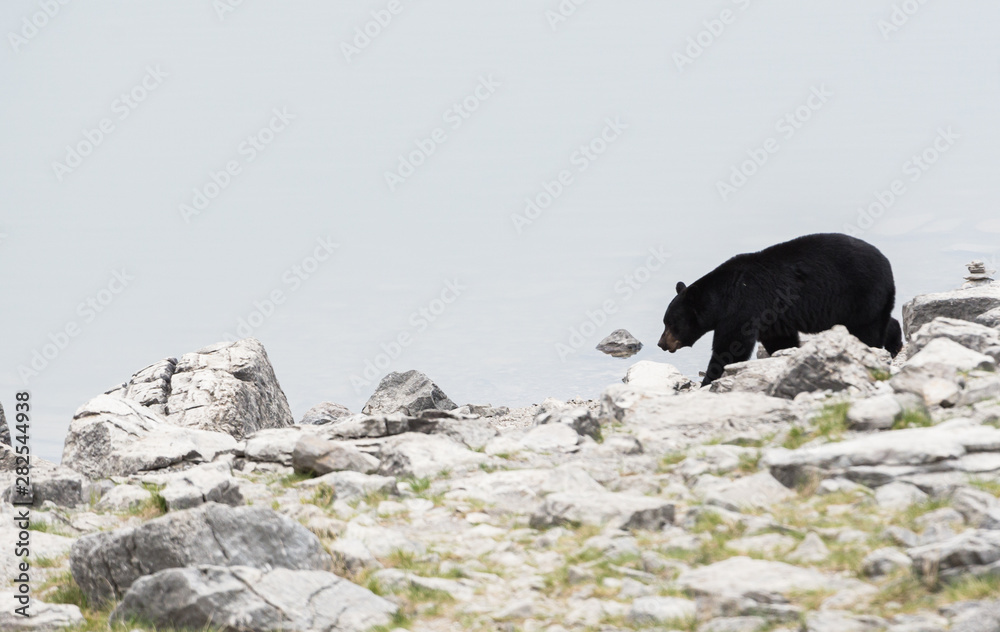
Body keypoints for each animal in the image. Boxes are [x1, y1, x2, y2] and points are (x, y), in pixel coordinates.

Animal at [658, 233, 903, 387]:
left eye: (671, 323)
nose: (661, 343)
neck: (723, 295)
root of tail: (888, 265)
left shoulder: (744, 308)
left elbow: (731, 346)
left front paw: (708, 380)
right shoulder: (771, 319)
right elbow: (780, 340)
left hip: (859, 295)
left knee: (867, 330)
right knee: (884, 321)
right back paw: (894, 343)